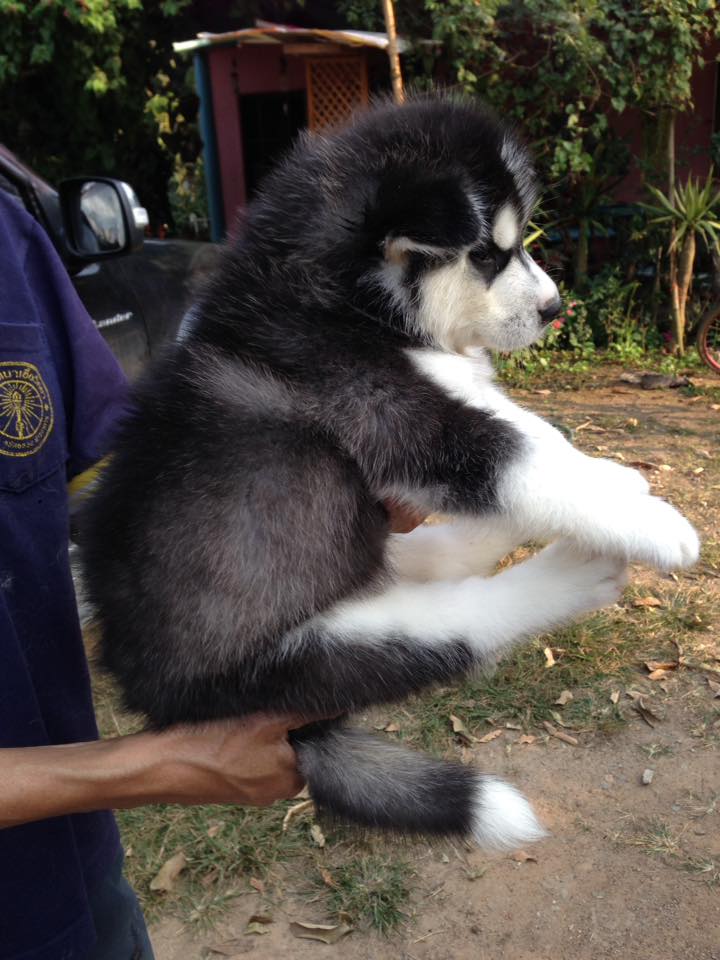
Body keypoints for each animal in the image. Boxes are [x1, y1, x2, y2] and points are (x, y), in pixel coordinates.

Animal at [82, 96, 698, 850]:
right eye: (487, 254)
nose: (556, 309)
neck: (349, 297)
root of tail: (151, 695)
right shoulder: (391, 409)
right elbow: (519, 452)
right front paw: (650, 521)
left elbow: (535, 434)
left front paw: (612, 481)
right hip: (300, 661)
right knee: (456, 625)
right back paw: (572, 571)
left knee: (424, 556)